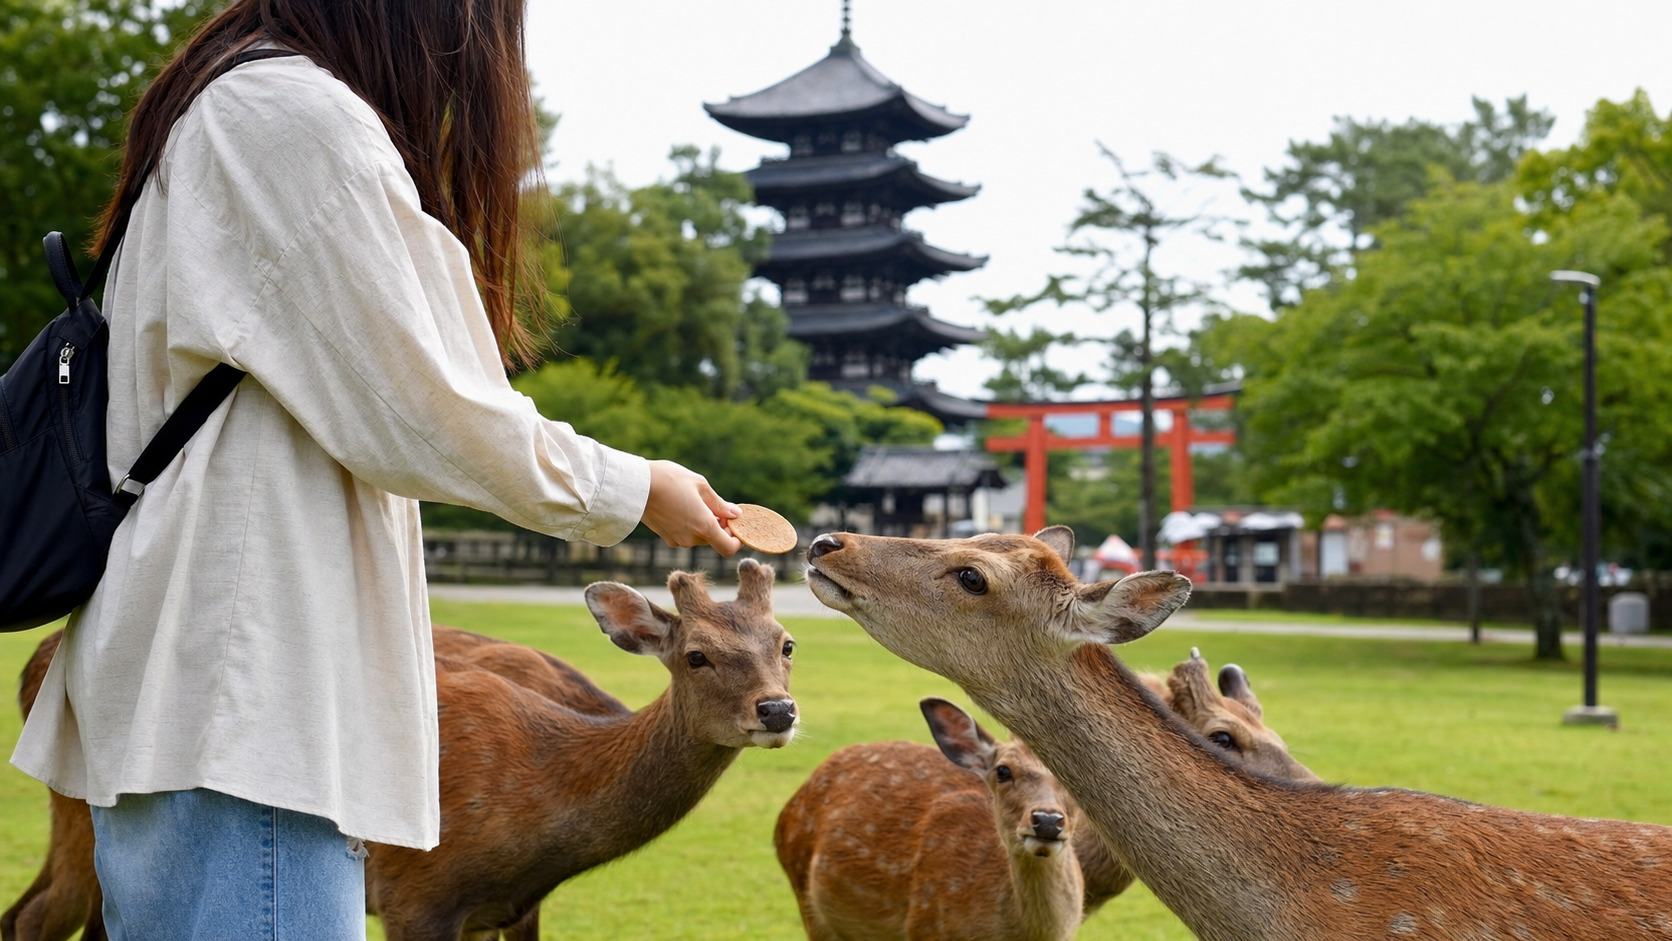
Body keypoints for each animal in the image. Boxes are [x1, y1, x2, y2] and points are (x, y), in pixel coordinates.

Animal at [5, 559, 798, 941]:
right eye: (696, 655)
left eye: (787, 644)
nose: (778, 709)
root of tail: (37, 660)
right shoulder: (418, 894)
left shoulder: (501, 911)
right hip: (82, 810)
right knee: (41, 918)